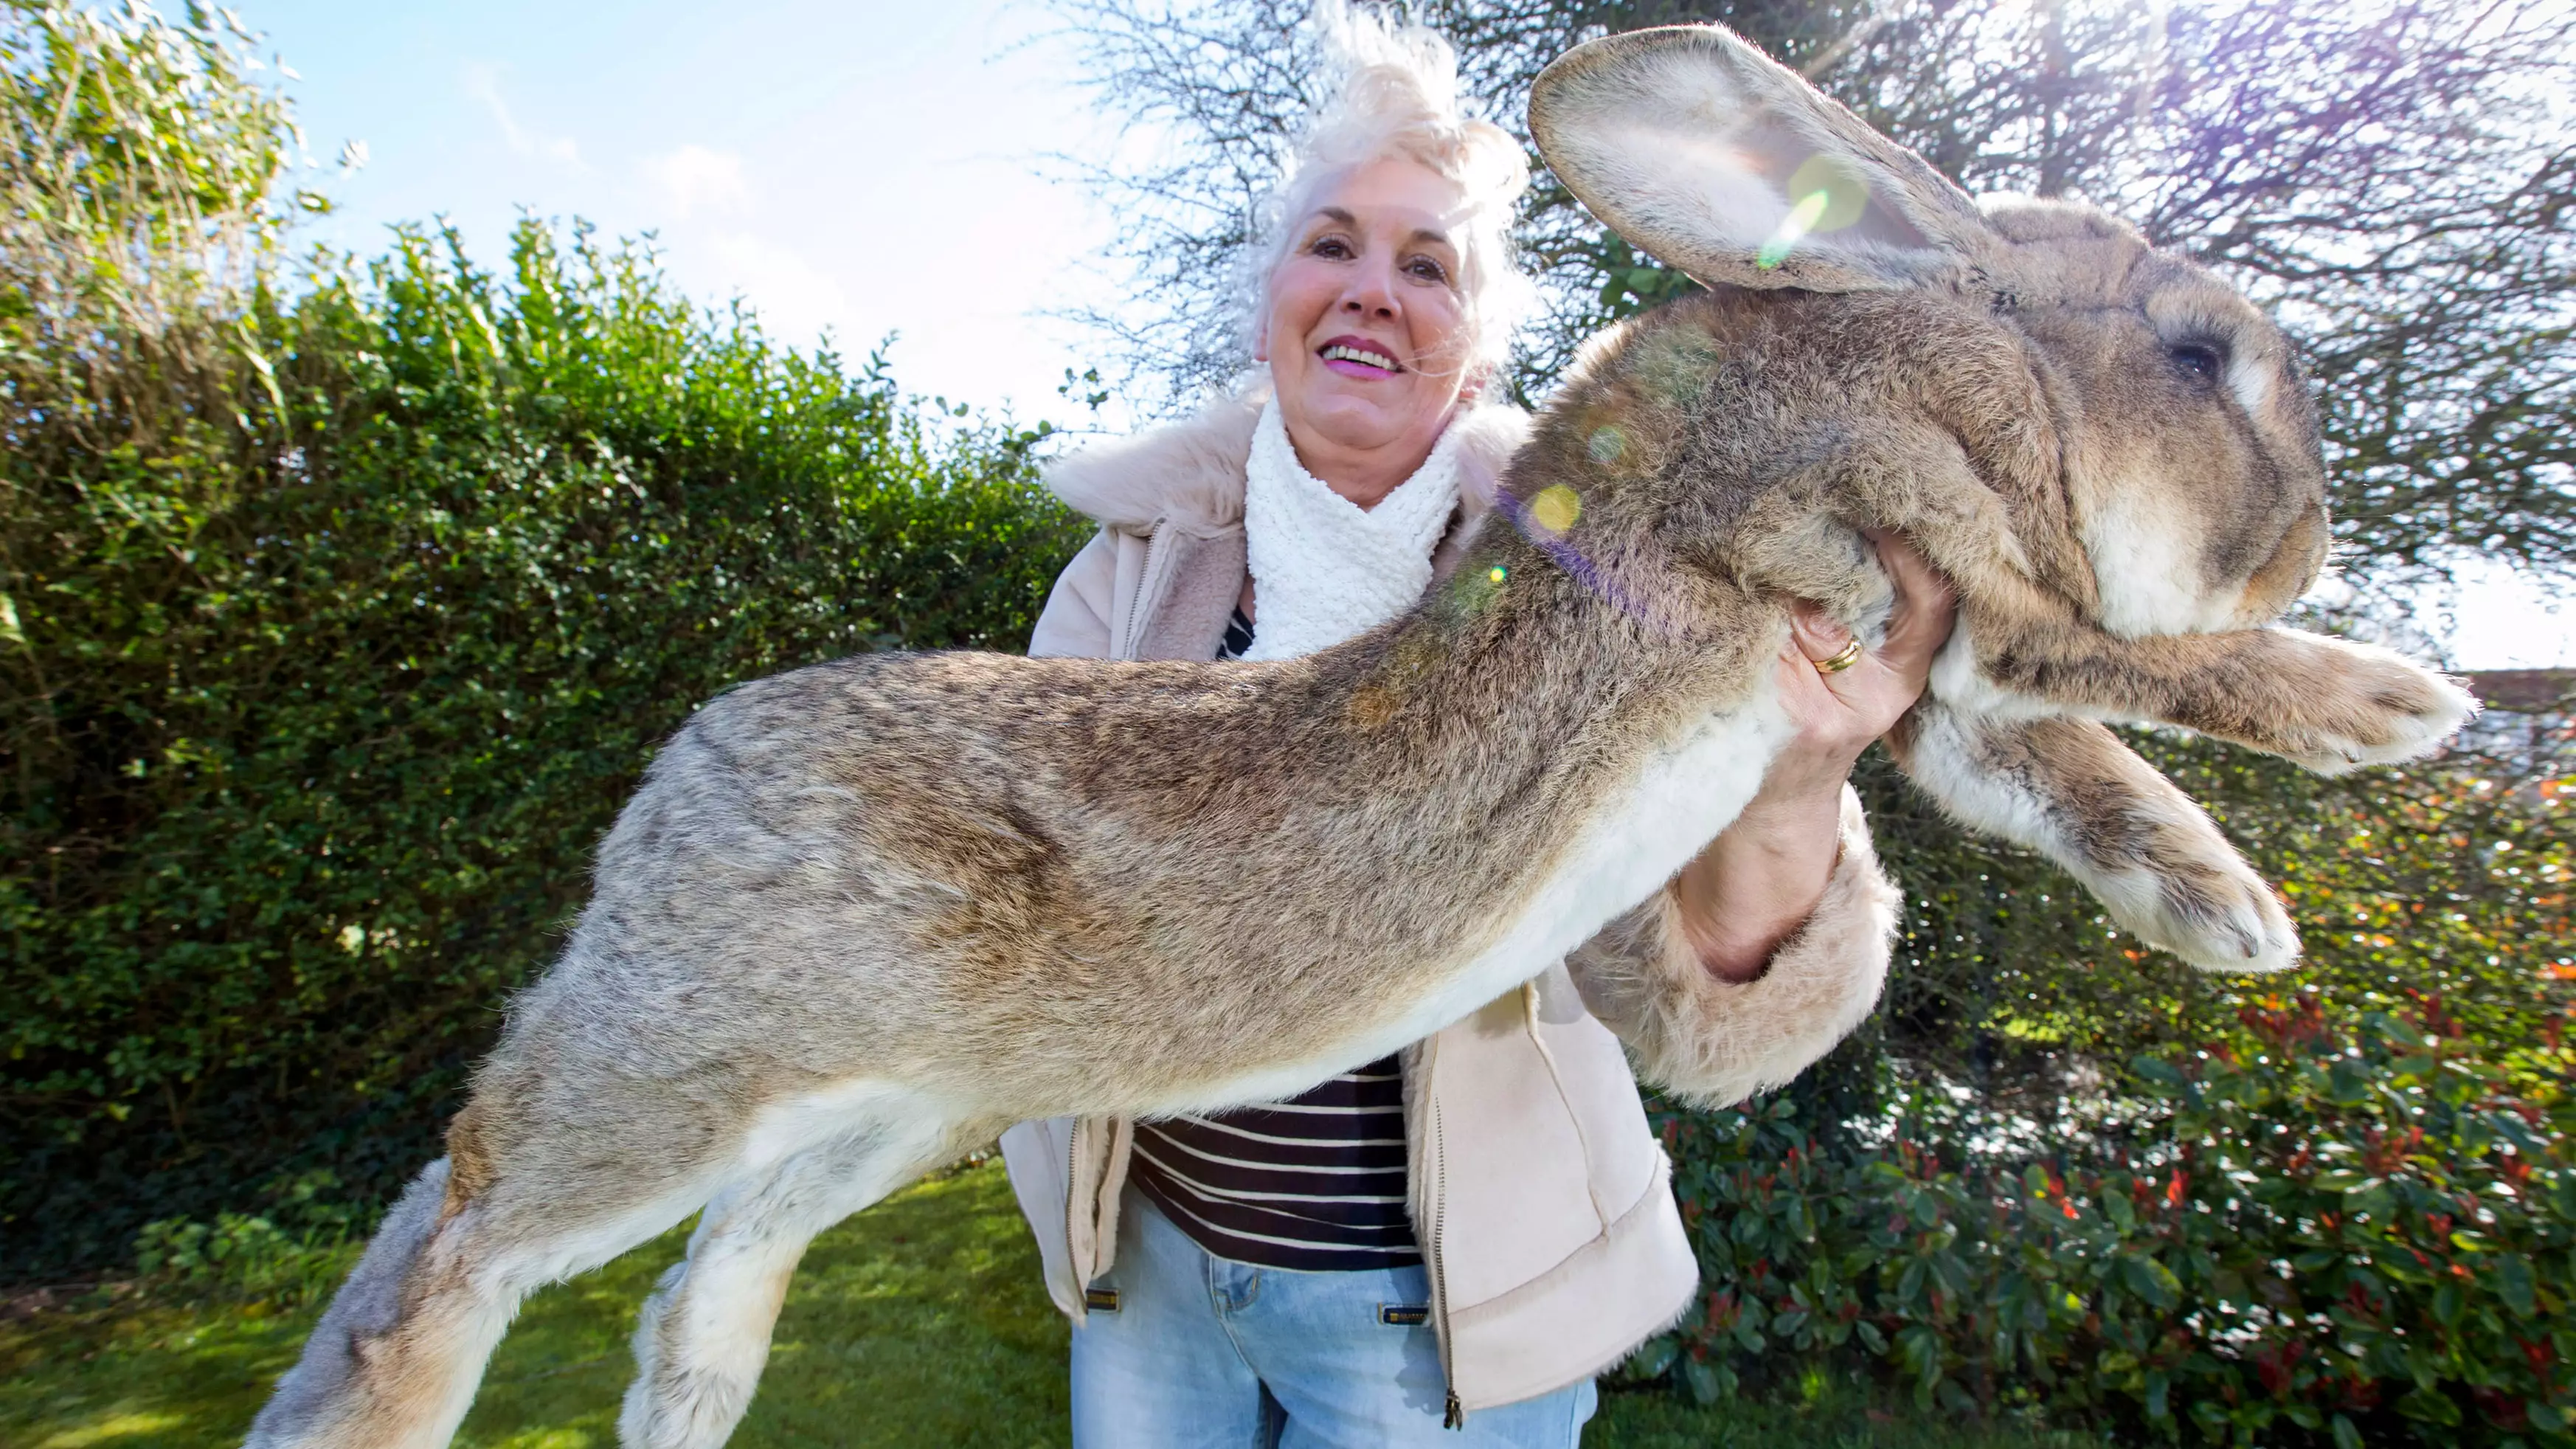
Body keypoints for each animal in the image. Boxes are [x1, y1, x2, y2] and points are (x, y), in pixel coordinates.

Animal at [246, 22, 2473, 1444]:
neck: (1933, 344)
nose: (2307, 540)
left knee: (716, 1240)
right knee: (456, 1219)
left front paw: (2226, 914)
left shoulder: (1938, 681)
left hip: (888, 1104)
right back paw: (395, 1412)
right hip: (701, 1050)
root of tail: (671, 783)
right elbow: (2134, 670)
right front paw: (2386, 703)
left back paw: (686, 1393)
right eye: (2196, 354)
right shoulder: (1913, 557)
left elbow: (2073, 773)